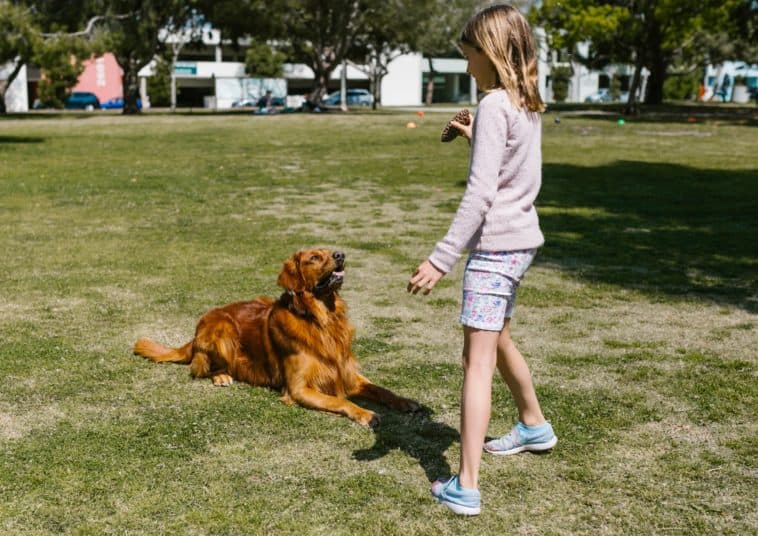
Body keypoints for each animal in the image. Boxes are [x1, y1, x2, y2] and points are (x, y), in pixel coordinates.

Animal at [137, 247, 422, 428]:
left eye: (330, 251)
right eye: (314, 257)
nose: (341, 255)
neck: (321, 319)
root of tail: (195, 332)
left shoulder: (346, 371)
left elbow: (380, 389)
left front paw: (405, 401)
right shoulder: (299, 388)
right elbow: (340, 400)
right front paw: (365, 413)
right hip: (223, 328)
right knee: (202, 367)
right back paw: (221, 376)